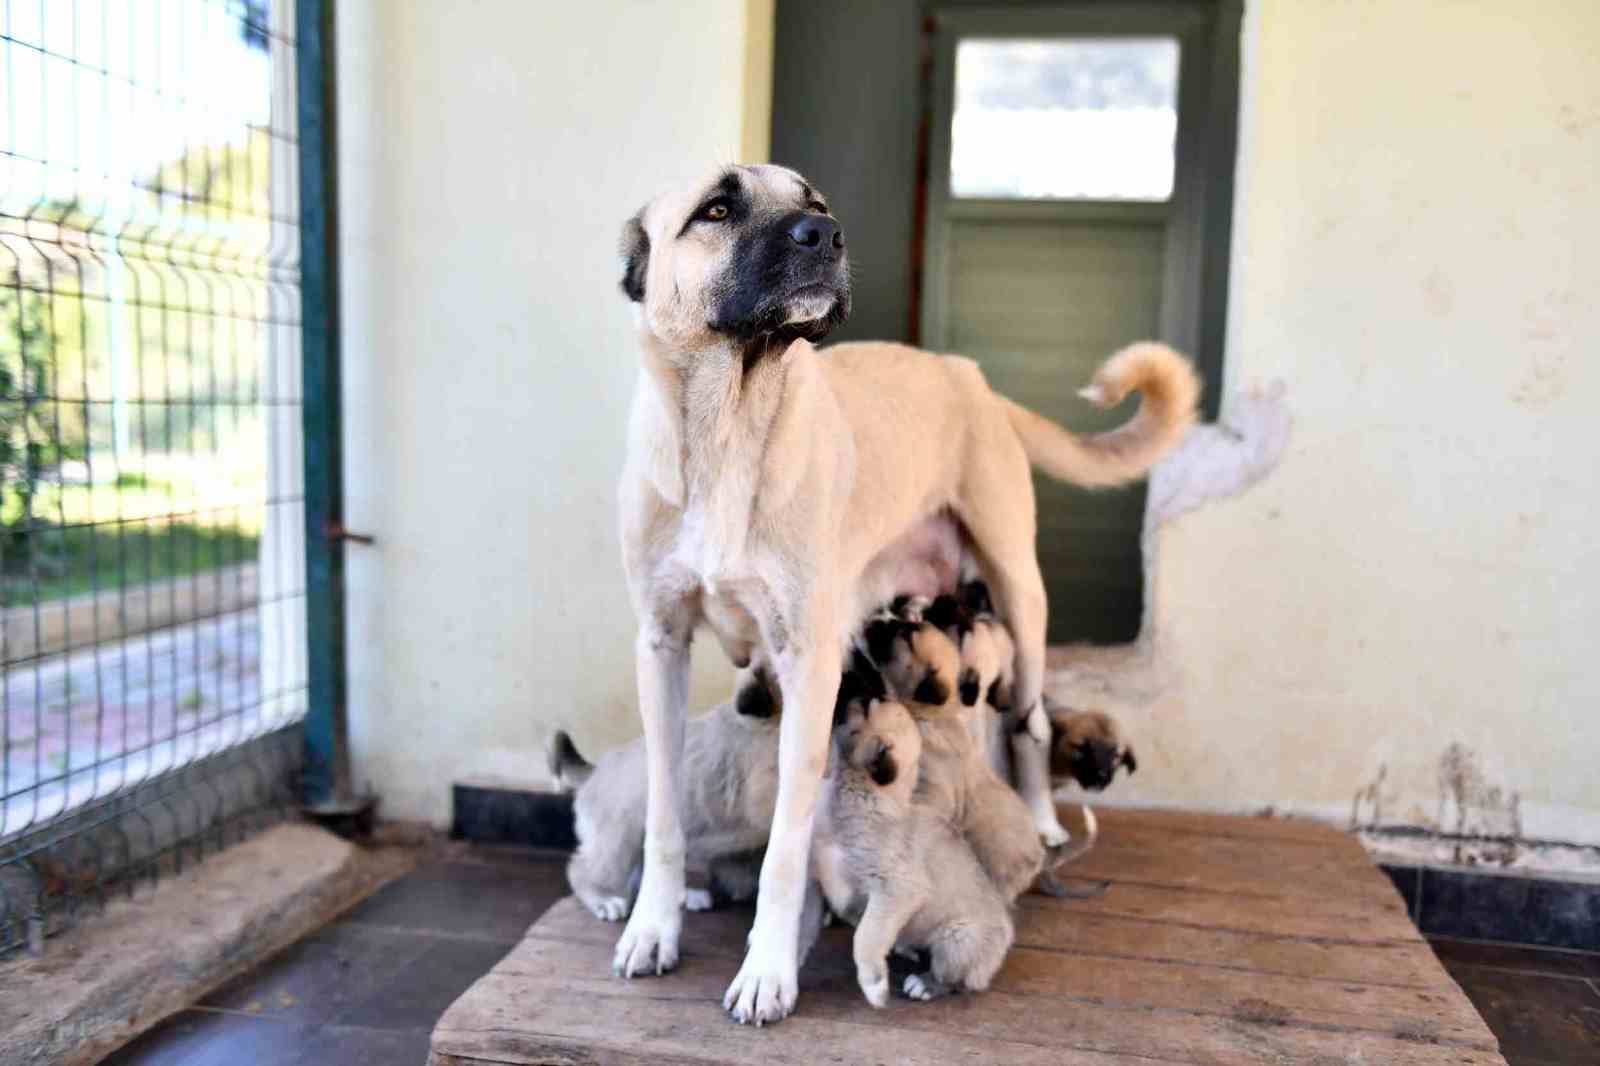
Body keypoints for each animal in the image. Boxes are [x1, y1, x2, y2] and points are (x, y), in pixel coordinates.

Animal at [812, 672, 1011, 1005]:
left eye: (865, 704)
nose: (846, 675)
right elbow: (860, 919)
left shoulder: (896, 888)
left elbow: (865, 935)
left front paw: (874, 982)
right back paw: (907, 947)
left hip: (958, 937)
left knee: (954, 978)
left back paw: (926, 984)